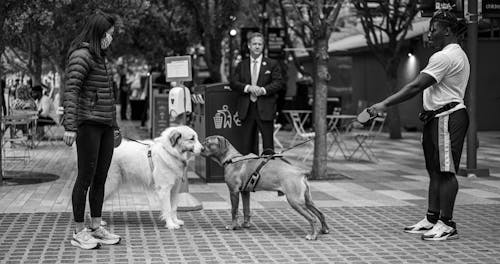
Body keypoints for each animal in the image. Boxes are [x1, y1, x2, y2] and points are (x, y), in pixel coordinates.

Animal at [201, 135, 330, 240]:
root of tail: (300, 172)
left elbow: (234, 210)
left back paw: (313, 235)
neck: (232, 159)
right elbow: (246, 209)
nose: (200, 148)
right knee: (320, 213)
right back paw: (324, 229)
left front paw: (233, 226)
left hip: (295, 201)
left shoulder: (234, 192)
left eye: (208, 143)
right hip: (307, 200)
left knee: (312, 218)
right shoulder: (245, 192)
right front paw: (246, 224)